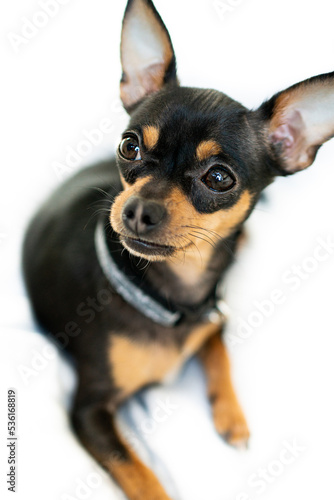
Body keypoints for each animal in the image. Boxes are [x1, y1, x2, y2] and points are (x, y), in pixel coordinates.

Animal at [22, 0, 334, 500]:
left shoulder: (215, 311)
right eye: (129, 147)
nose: (136, 211)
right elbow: (143, 477)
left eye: (219, 178)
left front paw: (232, 417)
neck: (174, 297)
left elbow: (217, 350)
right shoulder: (89, 411)